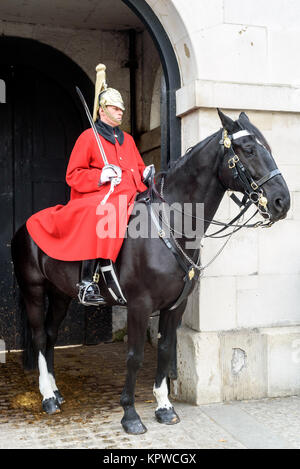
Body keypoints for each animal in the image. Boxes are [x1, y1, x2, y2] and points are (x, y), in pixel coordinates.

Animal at [11, 109, 290, 432]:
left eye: (268, 148)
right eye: (248, 150)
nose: (282, 201)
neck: (173, 224)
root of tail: (25, 225)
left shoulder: (175, 306)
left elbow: (166, 349)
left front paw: (164, 405)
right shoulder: (139, 305)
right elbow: (134, 356)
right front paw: (130, 414)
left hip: (60, 294)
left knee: (52, 334)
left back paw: (55, 391)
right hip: (33, 289)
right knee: (39, 336)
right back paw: (47, 397)